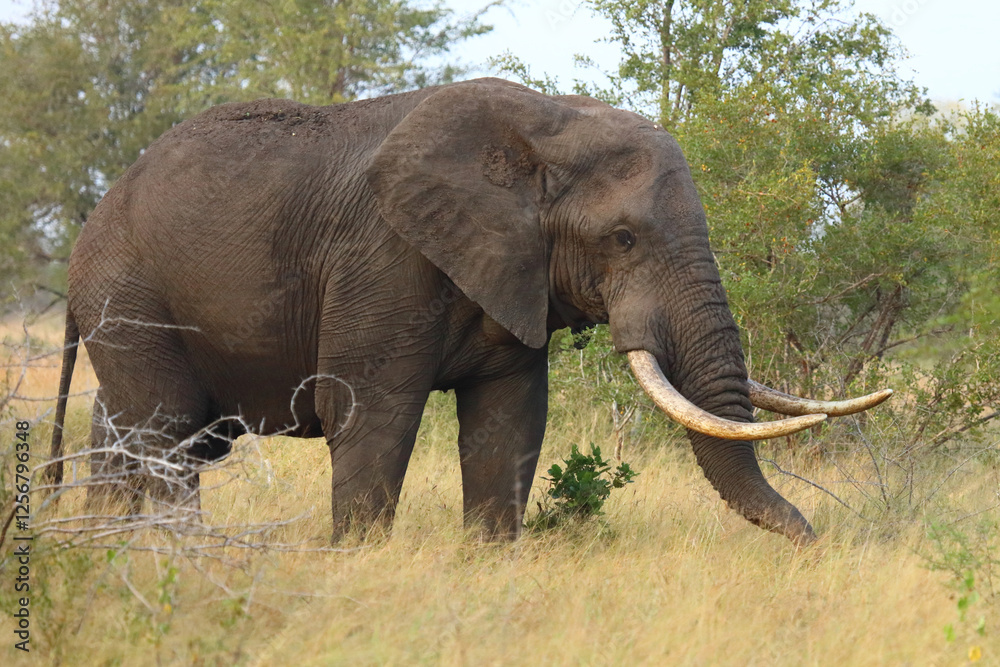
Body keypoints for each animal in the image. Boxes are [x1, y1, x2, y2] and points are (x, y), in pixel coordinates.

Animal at [49, 77, 891, 546]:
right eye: (622, 238)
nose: (814, 545)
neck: (546, 127)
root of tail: (93, 218)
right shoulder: (382, 258)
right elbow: (373, 416)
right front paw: (359, 564)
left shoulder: (514, 273)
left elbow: (509, 422)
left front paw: (488, 559)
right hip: (131, 294)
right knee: (165, 434)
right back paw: (174, 557)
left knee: (134, 429)